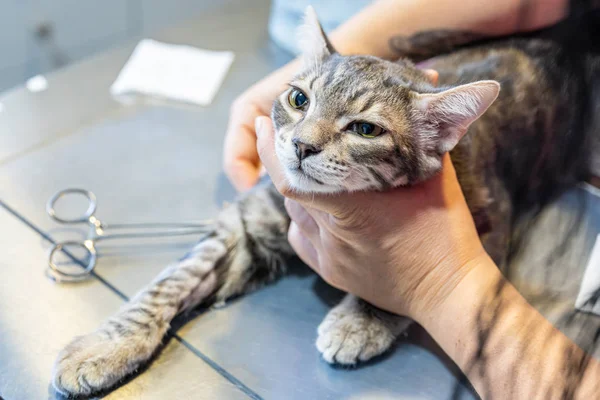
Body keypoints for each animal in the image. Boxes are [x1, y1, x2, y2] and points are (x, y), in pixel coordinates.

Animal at [51, 6, 596, 396]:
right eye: (298, 100)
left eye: (365, 129)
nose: (300, 145)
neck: (318, 207)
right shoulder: (250, 220)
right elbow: (170, 281)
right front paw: (107, 344)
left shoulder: (492, 226)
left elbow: (409, 282)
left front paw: (361, 319)